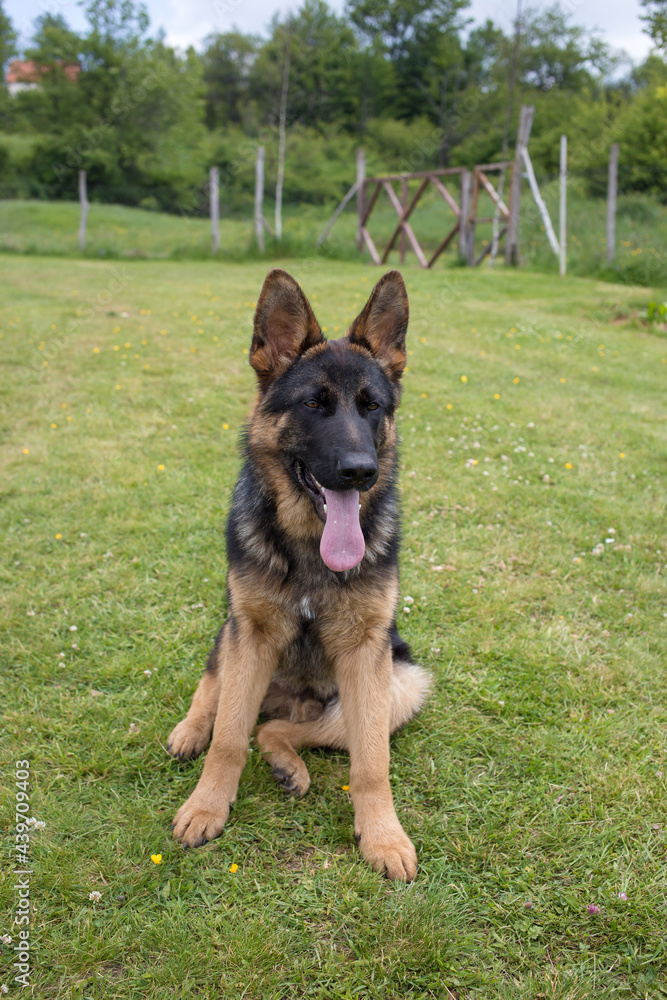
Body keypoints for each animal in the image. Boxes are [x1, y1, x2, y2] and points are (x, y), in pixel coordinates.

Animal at [166, 268, 428, 884]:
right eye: (314, 403)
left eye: (372, 407)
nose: (360, 472)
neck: (312, 549)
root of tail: (290, 702)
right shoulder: (251, 637)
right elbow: (228, 740)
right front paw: (206, 807)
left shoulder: (367, 655)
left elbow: (372, 763)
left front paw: (383, 836)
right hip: (235, 639)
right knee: (218, 692)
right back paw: (191, 729)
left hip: (403, 684)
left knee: (279, 731)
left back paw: (289, 763)